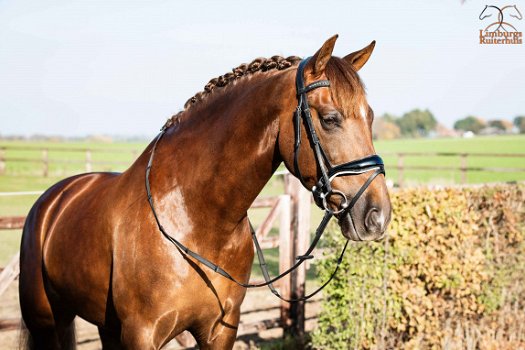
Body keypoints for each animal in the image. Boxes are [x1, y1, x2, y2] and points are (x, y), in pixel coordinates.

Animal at [19, 34, 388, 348]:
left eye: (370, 117)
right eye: (330, 119)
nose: (377, 216)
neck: (197, 218)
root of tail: (55, 198)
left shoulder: (220, 331)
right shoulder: (142, 334)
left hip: (104, 326)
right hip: (47, 321)